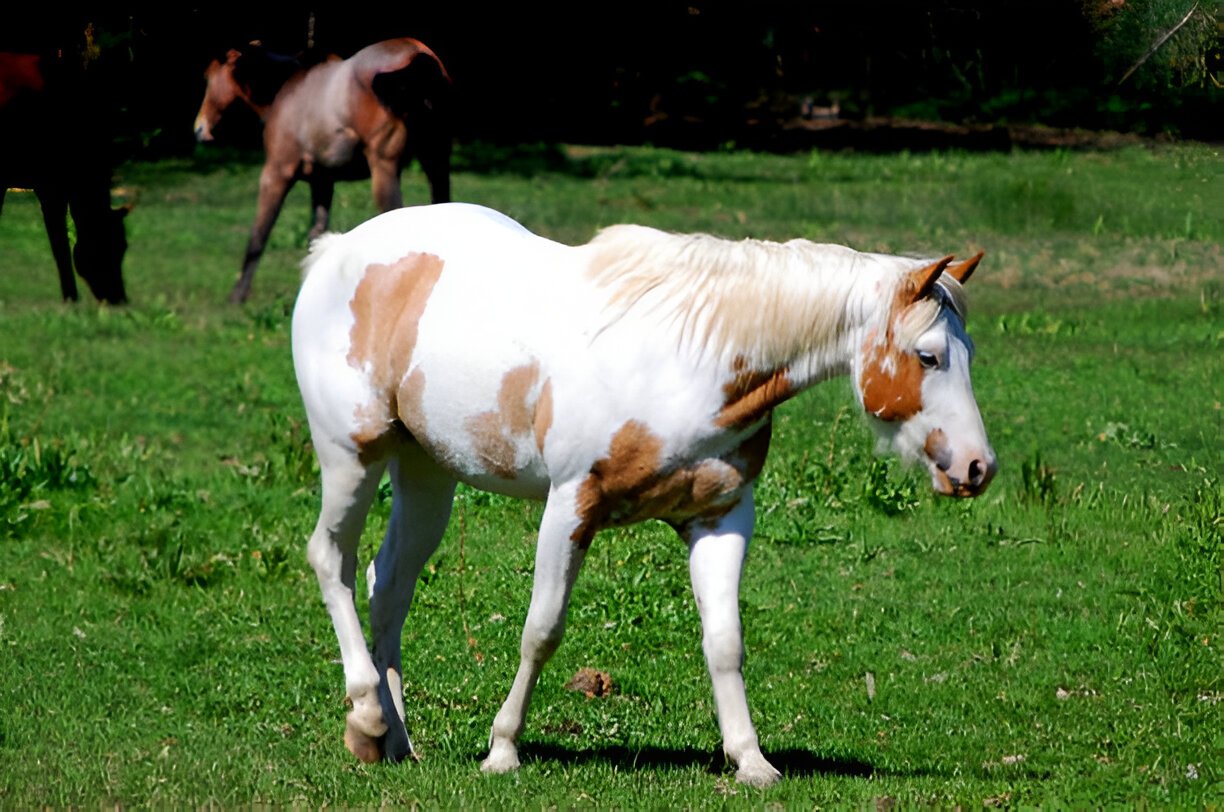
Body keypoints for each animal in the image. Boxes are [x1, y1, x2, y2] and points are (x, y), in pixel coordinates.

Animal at [0, 52, 129, 304]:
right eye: (106, 246)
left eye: (124, 247)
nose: (120, 299)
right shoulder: (50, 186)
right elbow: (60, 245)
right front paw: (71, 298)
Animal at [193, 38, 452, 304]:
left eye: (208, 77)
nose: (199, 128)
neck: (286, 87)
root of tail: (416, 54)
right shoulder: (322, 181)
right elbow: (316, 236)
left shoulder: (276, 174)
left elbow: (258, 235)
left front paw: (238, 295)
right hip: (437, 163)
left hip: (385, 169)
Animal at [291, 202, 997, 787]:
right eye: (929, 356)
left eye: (968, 352)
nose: (977, 467)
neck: (688, 364)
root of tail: (336, 251)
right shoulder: (571, 506)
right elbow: (541, 630)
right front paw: (503, 749)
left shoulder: (720, 519)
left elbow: (725, 641)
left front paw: (751, 761)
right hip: (351, 457)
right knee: (333, 561)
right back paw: (367, 716)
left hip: (427, 473)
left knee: (388, 587)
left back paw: (393, 741)